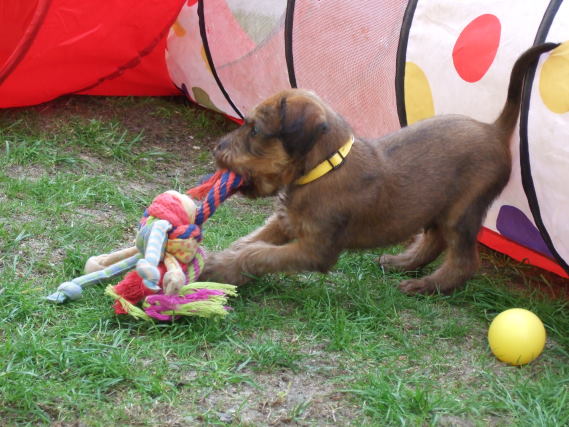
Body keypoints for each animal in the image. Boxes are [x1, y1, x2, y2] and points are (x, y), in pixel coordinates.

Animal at [200, 43, 559, 294]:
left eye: (255, 130)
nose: (216, 149)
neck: (323, 170)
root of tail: (494, 129)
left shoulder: (316, 249)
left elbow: (258, 254)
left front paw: (218, 267)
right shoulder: (285, 222)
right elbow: (249, 242)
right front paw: (218, 261)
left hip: (463, 210)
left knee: (464, 260)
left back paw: (428, 286)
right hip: (436, 204)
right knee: (434, 240)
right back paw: (402, 262)